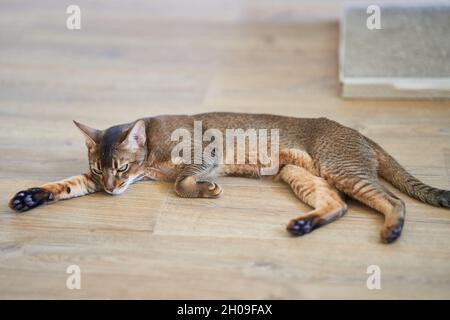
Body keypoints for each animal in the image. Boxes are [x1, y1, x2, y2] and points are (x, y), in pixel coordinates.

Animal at [7, 112, 450, 242]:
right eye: (100, 170)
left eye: (121, 168)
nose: (111, 189)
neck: (149, 157)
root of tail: (360, 134)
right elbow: (68, 184)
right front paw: (31, 196)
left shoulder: (205, 153)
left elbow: (183, 184)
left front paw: (208, 189)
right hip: (301, 174)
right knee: (338, 205)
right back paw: (305, 224)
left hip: (340, 168)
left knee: (394, 200)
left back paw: (392, 229)